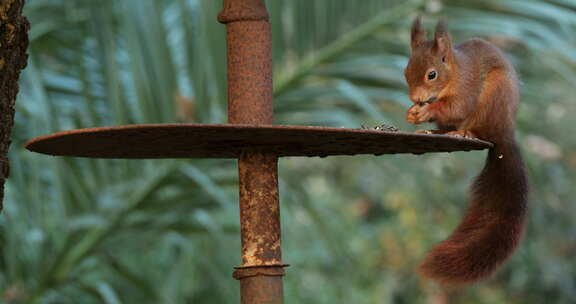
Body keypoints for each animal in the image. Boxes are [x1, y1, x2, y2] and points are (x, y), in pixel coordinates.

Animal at [402, 17, 528, 284]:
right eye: (406, 71)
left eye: (431, 74)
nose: (416, 98)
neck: (454, 74)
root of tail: (505, 132)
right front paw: (413, 113)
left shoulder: (467, 88)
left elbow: (455, 108)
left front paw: (427, 110)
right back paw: (435, 132)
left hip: (493, 98)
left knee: (478, 129)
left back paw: (464, 134)